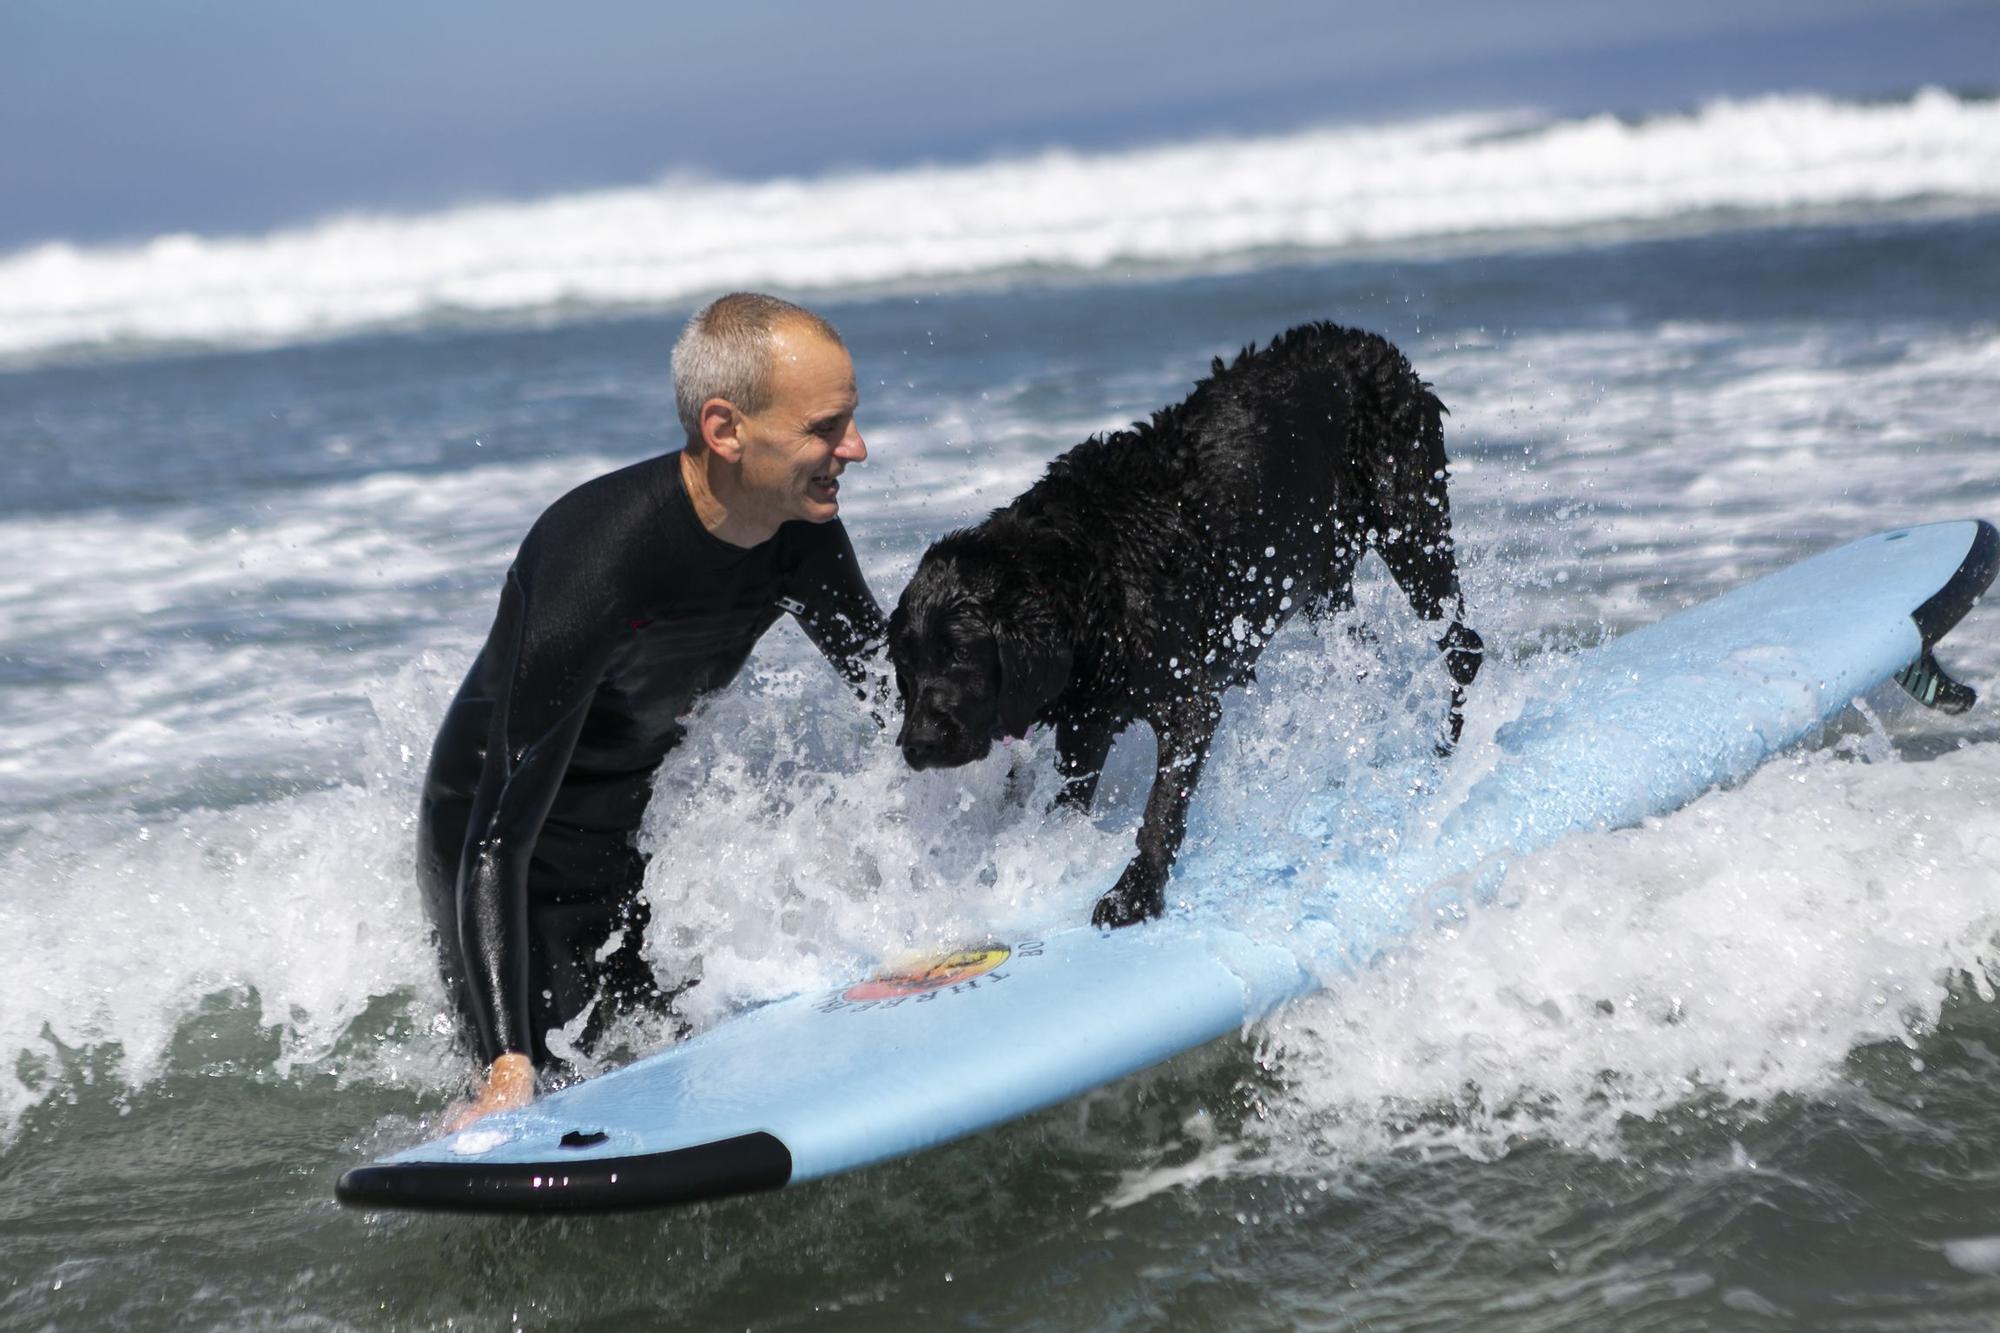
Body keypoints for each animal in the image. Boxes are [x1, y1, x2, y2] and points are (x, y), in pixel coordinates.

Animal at [896, 322, 1488, 924]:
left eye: (959, 654)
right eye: (905, 667)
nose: (914, 745)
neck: (1086, 568)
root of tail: (1370, 342)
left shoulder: (1188, 705)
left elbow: (1161, 811)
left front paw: (1135, 891)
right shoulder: (1086, 719)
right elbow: (1067, 798)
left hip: (1411, 530)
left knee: (1465, 646)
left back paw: (1446, 744)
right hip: (1324, 583)